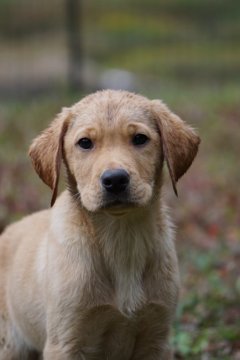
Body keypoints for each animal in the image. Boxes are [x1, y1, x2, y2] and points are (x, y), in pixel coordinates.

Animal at [0, 89, 199, 358]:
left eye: (140, 139)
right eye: (85, 143)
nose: (115, 180)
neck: (122, 236)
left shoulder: (157, 338)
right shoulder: (66, 342)